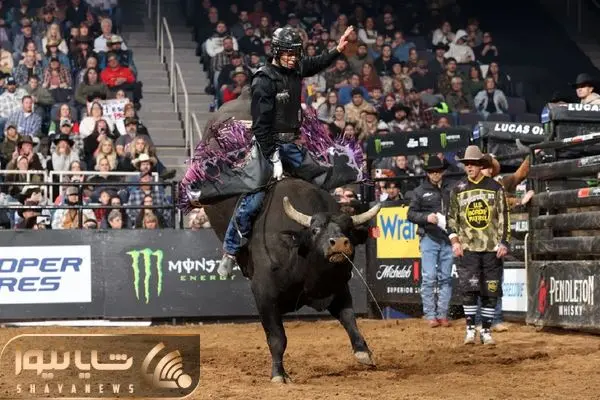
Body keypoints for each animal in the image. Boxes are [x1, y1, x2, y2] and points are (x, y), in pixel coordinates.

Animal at [203, 178, 380, 383]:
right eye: (315, 230)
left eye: (348, 230)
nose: (339, 243)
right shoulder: (264, 294)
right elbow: (277, 337)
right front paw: (279, 375)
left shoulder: (338, 288)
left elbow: (348, 318)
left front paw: (363, 352)